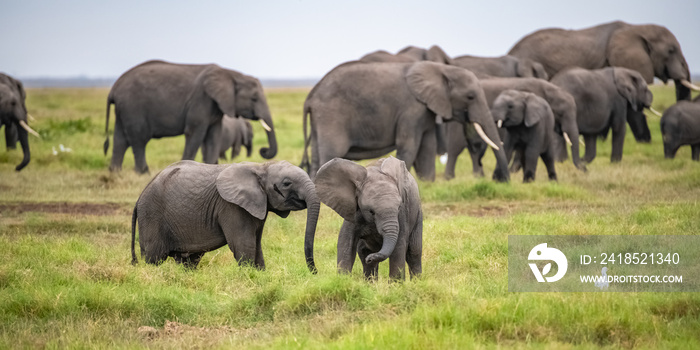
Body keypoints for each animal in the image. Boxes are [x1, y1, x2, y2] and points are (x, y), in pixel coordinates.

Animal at [105, 61, 278, 175]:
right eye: (254, 98)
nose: (263, 150)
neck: (231, 74)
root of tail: (114, 88)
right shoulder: (200, 100)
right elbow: (195, 134)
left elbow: (214, 136)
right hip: (133, 107)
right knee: (139, 139)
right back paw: (143, 172)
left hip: (123, 110)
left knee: (120, 140)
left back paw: (115, 172)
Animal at [131, 160, 320, 272]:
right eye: (287, 183)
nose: (315, 272)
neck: (261, 166)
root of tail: (139, 198)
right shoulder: (231, 207)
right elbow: (245, 246)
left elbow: (256, 245)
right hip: (151, 216)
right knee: (153, 258)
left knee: (188, 260)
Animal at [300, 60, 508, 182]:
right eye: (470, 97)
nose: (502, 180)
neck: (441, 69)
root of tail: (311, 95)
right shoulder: (411, 109)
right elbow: (409, 147)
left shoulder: (426, 110)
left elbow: (427, 148)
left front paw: (427, 183)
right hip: (331, 115)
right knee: (331, 153)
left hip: (320, 121)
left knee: (317, 157)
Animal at [446, 77, 584, 180]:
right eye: (561, 113)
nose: (585, 171)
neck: (549, 88)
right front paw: (513, 172)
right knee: (456, 147)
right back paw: (450, 178)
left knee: (470, 149)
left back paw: (478, 177)